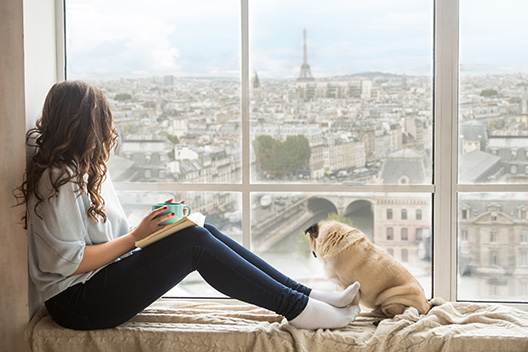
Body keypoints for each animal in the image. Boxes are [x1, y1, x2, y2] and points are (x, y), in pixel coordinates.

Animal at [306, 221, 438, 318]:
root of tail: (426, 305)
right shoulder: (339, 287)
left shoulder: (348, 286)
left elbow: (350, 304)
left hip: (388, 298)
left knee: (391, 314)